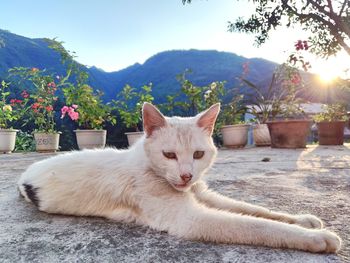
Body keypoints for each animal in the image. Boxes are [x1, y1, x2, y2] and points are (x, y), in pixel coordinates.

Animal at [17, 102, 340, 254]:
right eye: (169, 155)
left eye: (198, 154)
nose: (186, 175)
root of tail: (26, 172)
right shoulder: (190, 219)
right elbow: (257, 226)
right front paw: (317, 238)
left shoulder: (203, 193)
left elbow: (254, 210)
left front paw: (303, 219)